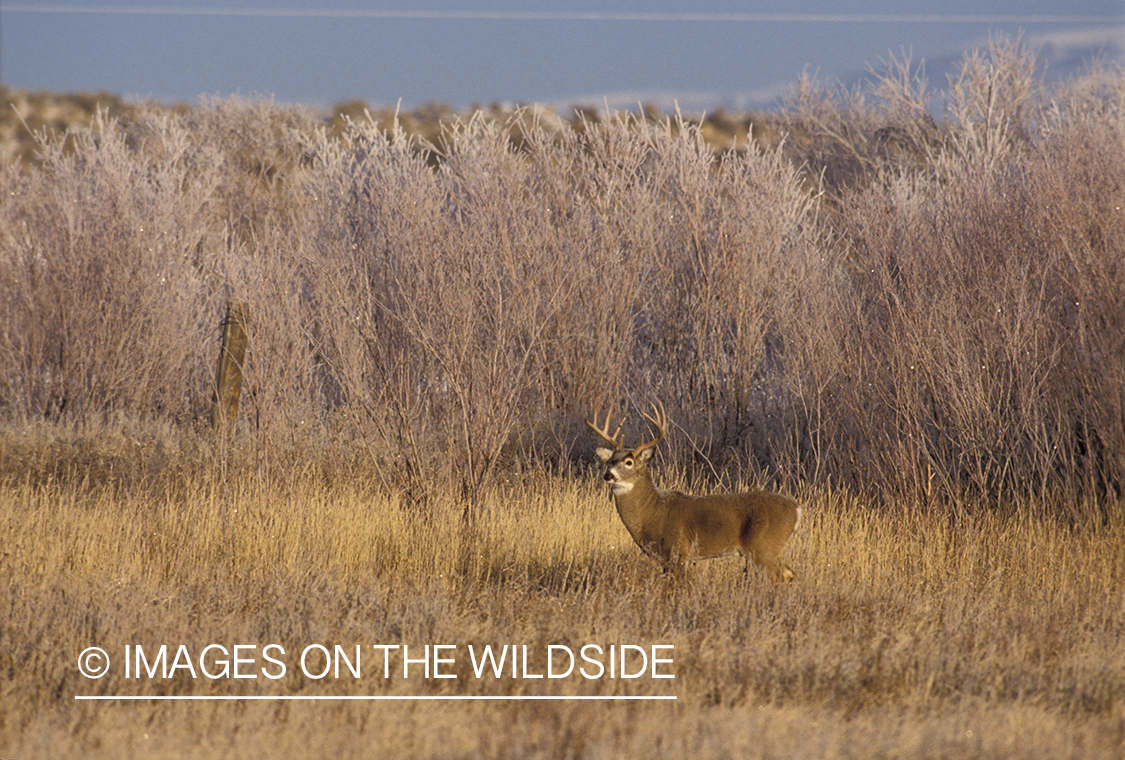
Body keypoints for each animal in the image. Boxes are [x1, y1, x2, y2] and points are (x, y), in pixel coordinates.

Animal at [589, 404, 801, 580]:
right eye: (610, 461)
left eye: (629, 462)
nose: (608, 475)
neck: (653, 511)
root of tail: (797, 509)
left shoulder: (678, 551)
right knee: (790, 573)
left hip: (764, 546)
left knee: (780, 577)